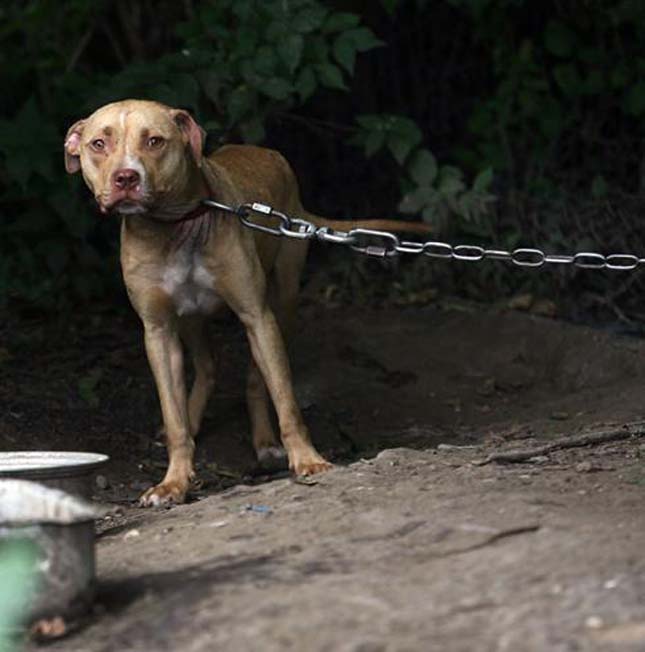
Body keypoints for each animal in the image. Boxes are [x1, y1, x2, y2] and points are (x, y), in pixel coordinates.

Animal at [64, 99, 428, 506]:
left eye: (155, 141)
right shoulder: (158, 331)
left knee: (256, 379)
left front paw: (308, 460)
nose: (126, 177)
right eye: (98, 144)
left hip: (280, 304)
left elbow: (286, 401)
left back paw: (266, 444)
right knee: (208, 365)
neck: (176, 227)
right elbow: (174, 418)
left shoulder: (256, 315)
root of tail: (268, 153)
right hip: (190, 321)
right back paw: (195, 420)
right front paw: (173, 481)